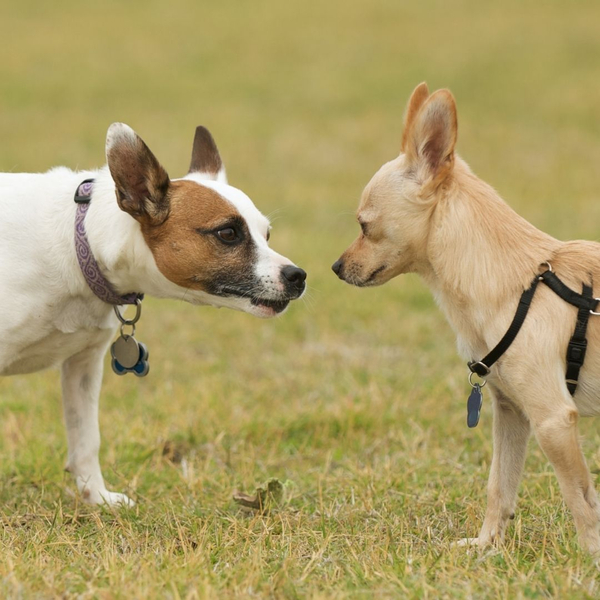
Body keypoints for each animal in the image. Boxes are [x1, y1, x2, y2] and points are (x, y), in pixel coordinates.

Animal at [0, 125, 308, 506]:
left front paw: (97, 498)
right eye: (228, 233)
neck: (80, 243)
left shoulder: (84, 366)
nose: (298, 276)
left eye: (266, 234)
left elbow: (86, 439)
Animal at [332, 83, 600, 552]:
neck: (516, 282)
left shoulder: (552, 420)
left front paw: (590, 557)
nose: (335, 267)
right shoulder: (511, 412)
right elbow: (500, 487)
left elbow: (580, 499)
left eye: (364, 226)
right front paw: (486, 547)